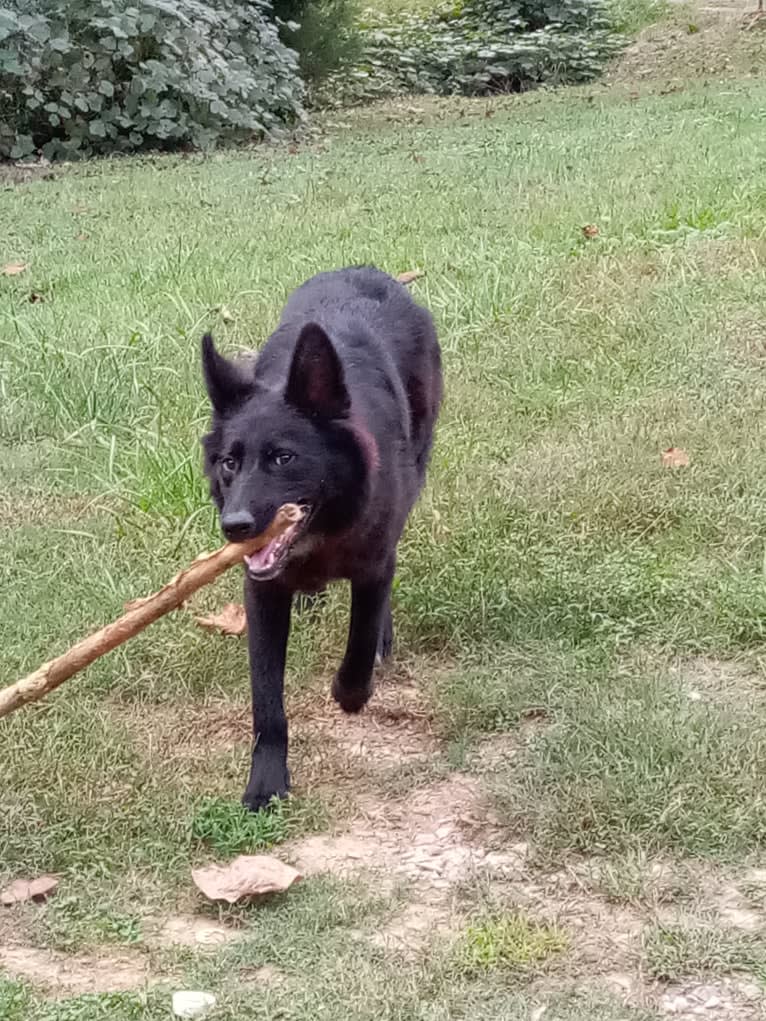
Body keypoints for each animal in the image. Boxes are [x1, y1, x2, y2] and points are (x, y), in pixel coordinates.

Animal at [201, 267, 443, 808]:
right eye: (230, 462)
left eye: (284, 457)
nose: (235, 526)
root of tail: (366, 270)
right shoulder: (262, 593)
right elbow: (266, 699)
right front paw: (266, 783)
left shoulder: (374, 562)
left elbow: (361, 636)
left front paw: (351, 692)